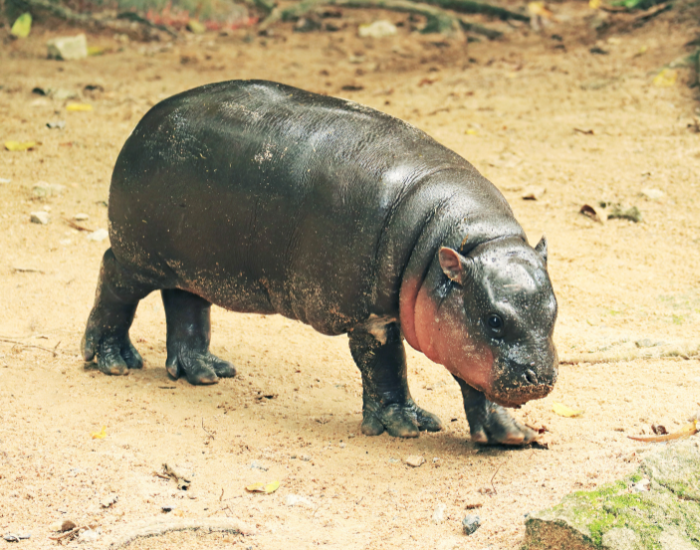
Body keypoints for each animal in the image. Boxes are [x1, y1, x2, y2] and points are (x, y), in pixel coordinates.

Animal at [83, 80, 558, 445]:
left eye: (555, 312)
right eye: (494, 319)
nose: (539, 379)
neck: (464, 239)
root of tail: (147, 119)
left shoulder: (459, 329)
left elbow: (476, 378)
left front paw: (512, 435)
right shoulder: (369, 315)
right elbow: (386, 365)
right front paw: (404, 426)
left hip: (194, 263)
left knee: (186, 303)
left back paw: (204, 372)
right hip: (138, 255)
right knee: (113, 279)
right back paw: (113, 360)